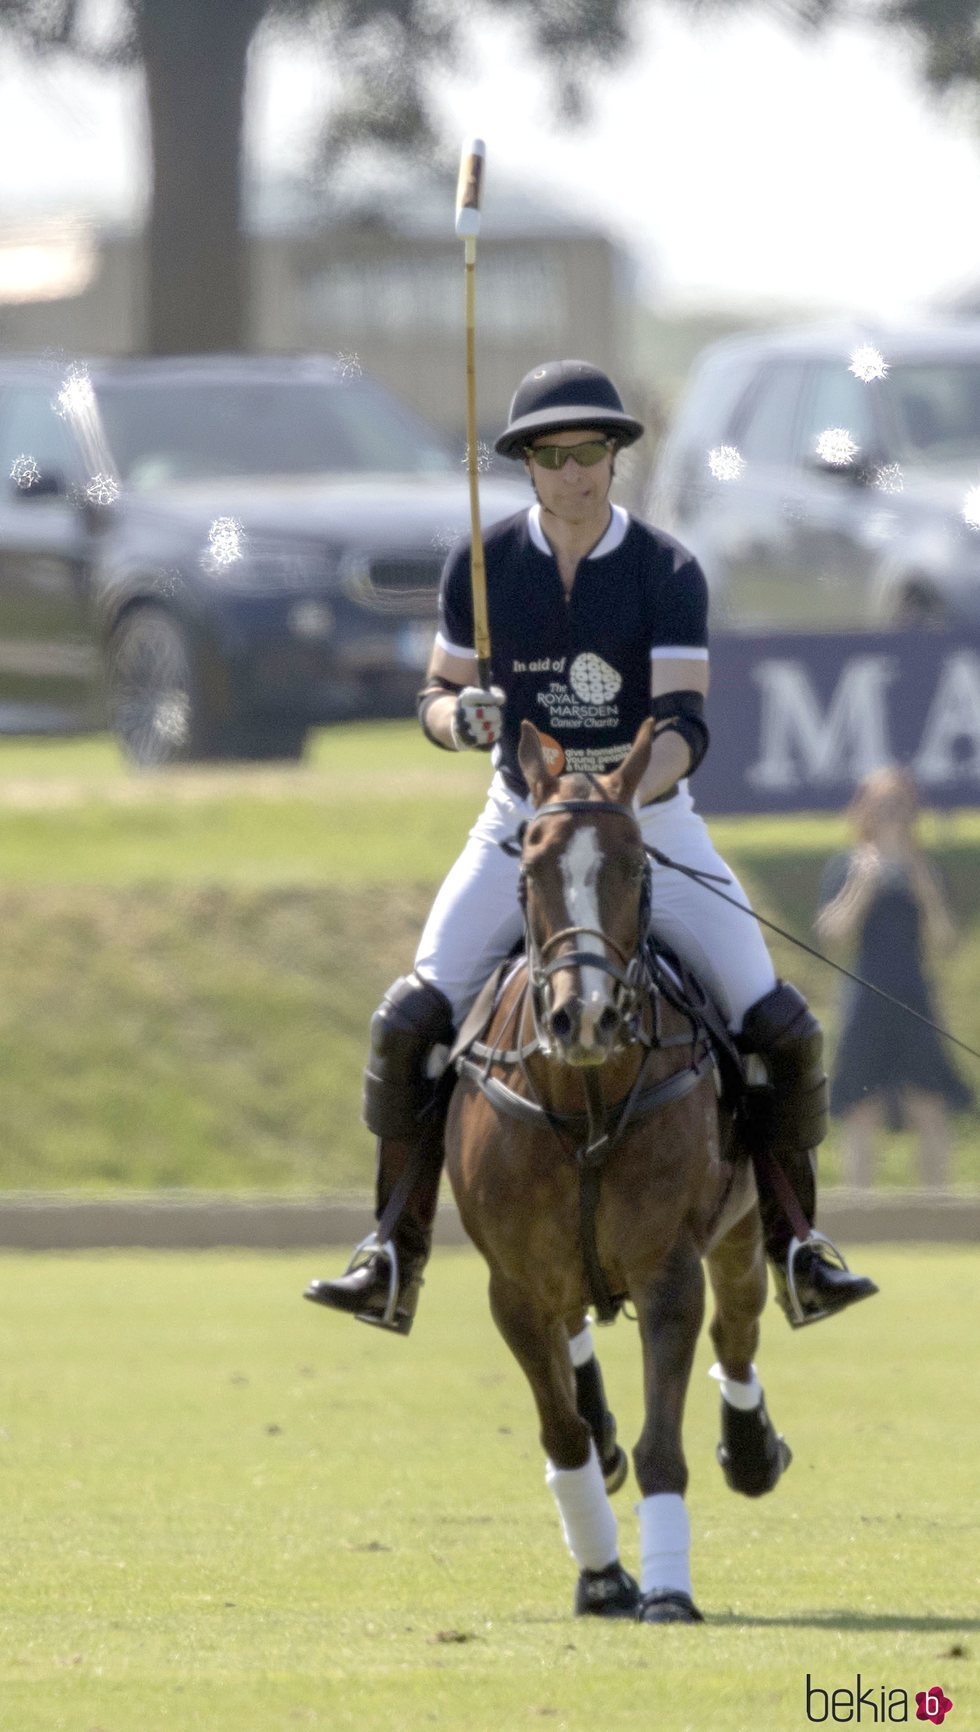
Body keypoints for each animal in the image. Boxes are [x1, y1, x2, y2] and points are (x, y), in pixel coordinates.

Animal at [450, 717, 796, 1621]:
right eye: (528, 866)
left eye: (639, 865)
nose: (585, 1017)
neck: (586, 1098)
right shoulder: (512, 1285)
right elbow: (562, 1434)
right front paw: (604, 1576)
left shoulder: (668, 1269)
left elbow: (663, 1444)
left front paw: (669, 1591)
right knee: (578, 1340)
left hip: (741, 1228)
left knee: (738, 1330)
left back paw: (753, 1449)